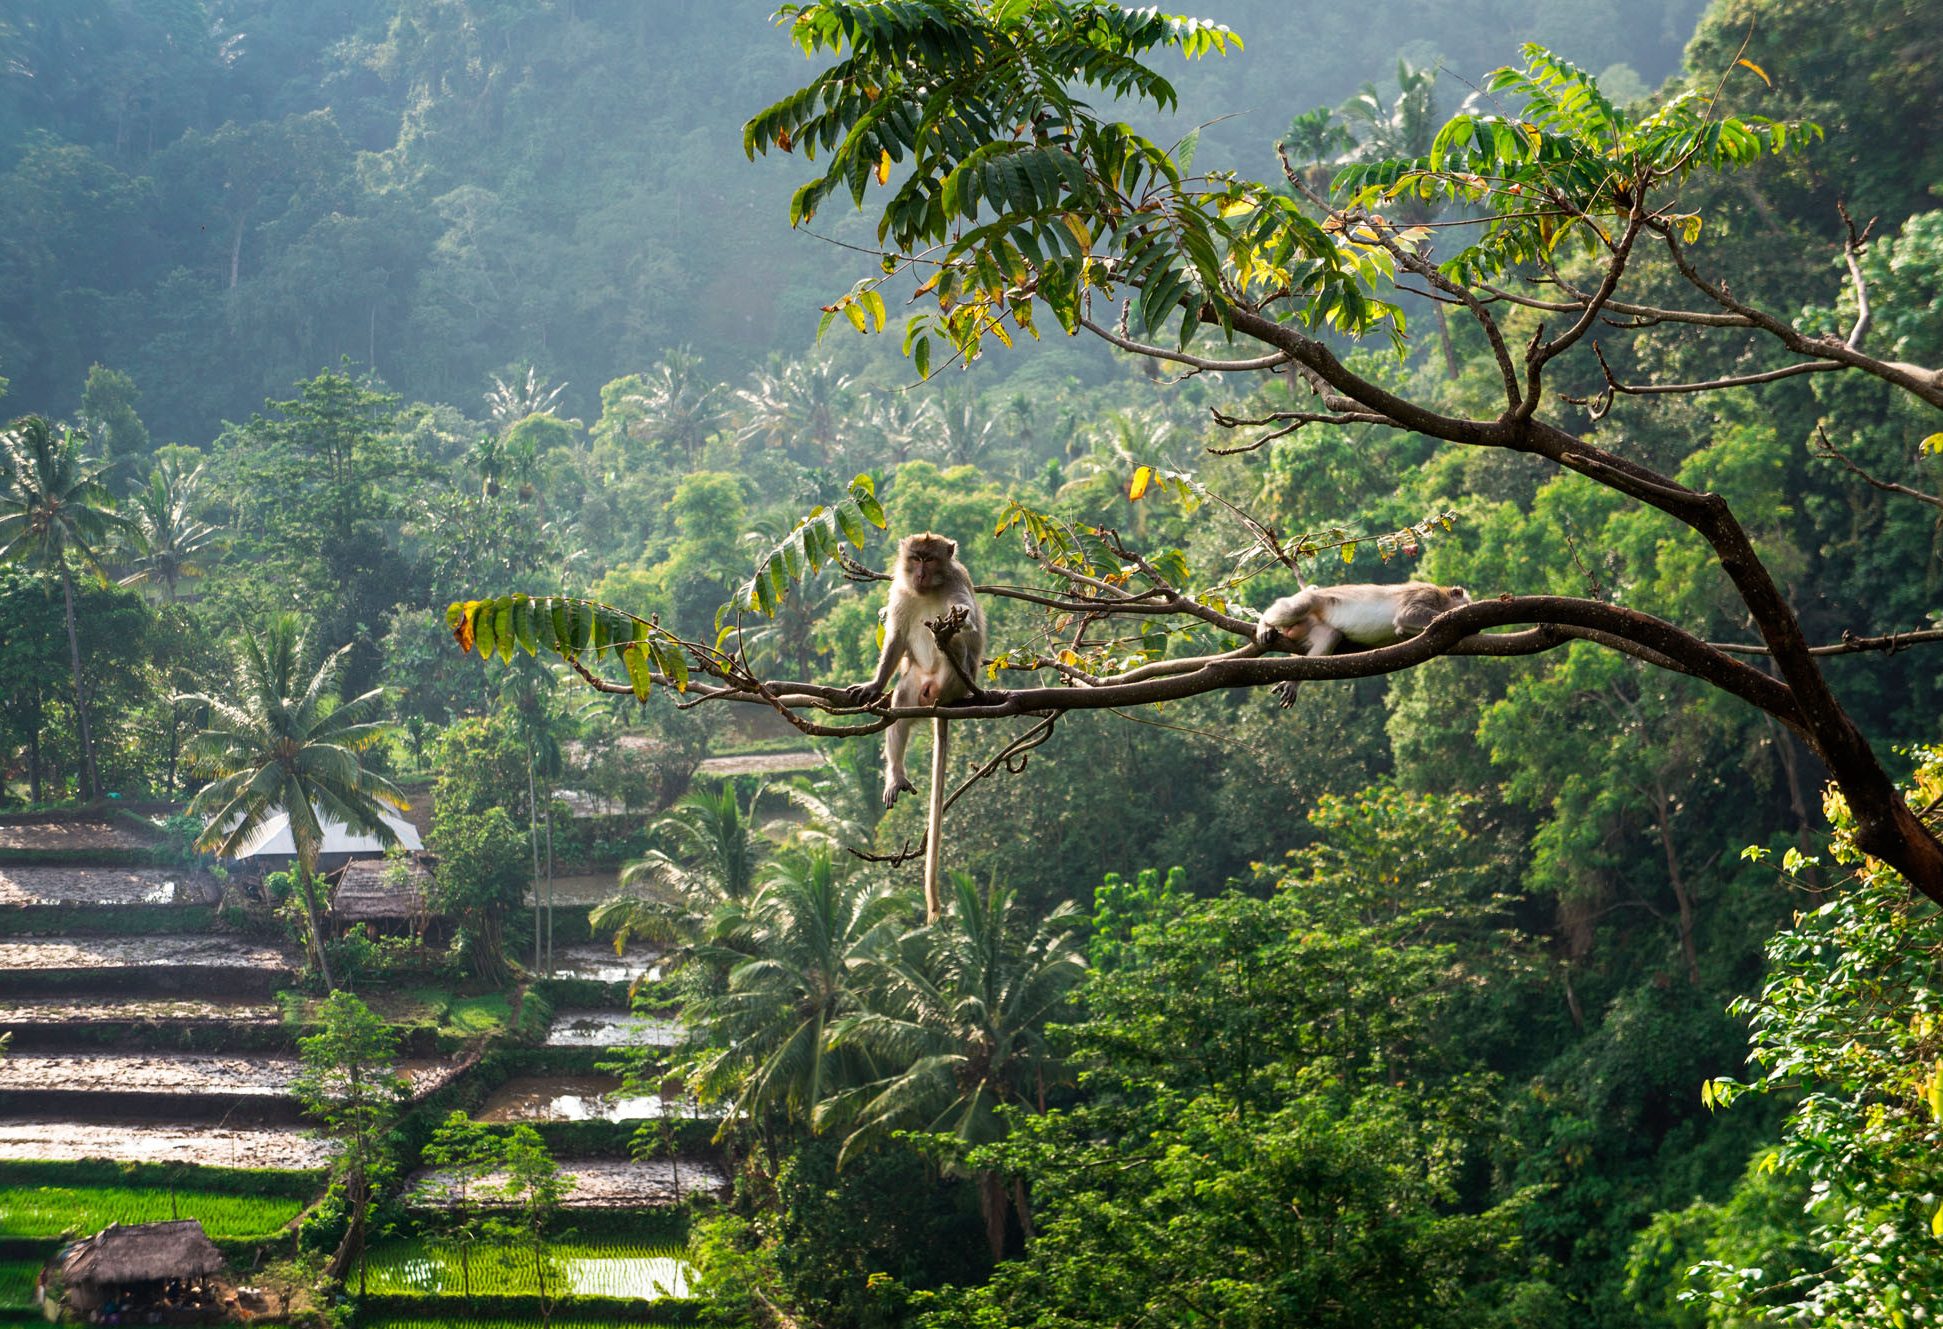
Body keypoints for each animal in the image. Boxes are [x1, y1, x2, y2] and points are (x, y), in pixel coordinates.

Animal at [845, 533, 987, 920]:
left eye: (931, 559)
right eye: (915, 558)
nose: (921, 573)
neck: (927, 591)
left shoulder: (955, 586)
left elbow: (965, 621)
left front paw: (954, 627)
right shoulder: (901, 592)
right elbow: (895, 639)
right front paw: (874, 685)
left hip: (953, 680)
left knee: (957, 648)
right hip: (917, 682)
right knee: (901, 704)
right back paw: (896, 773)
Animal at [1254, 580, 1470, 706]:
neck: (1442, 599)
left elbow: (1402, 628)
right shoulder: (1426, 593)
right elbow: (1407, 615)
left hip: (1309, 626)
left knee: (1330, 636)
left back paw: (1294, 680)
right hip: (1310, 600)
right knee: (1298, 607)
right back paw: (1265, 623)